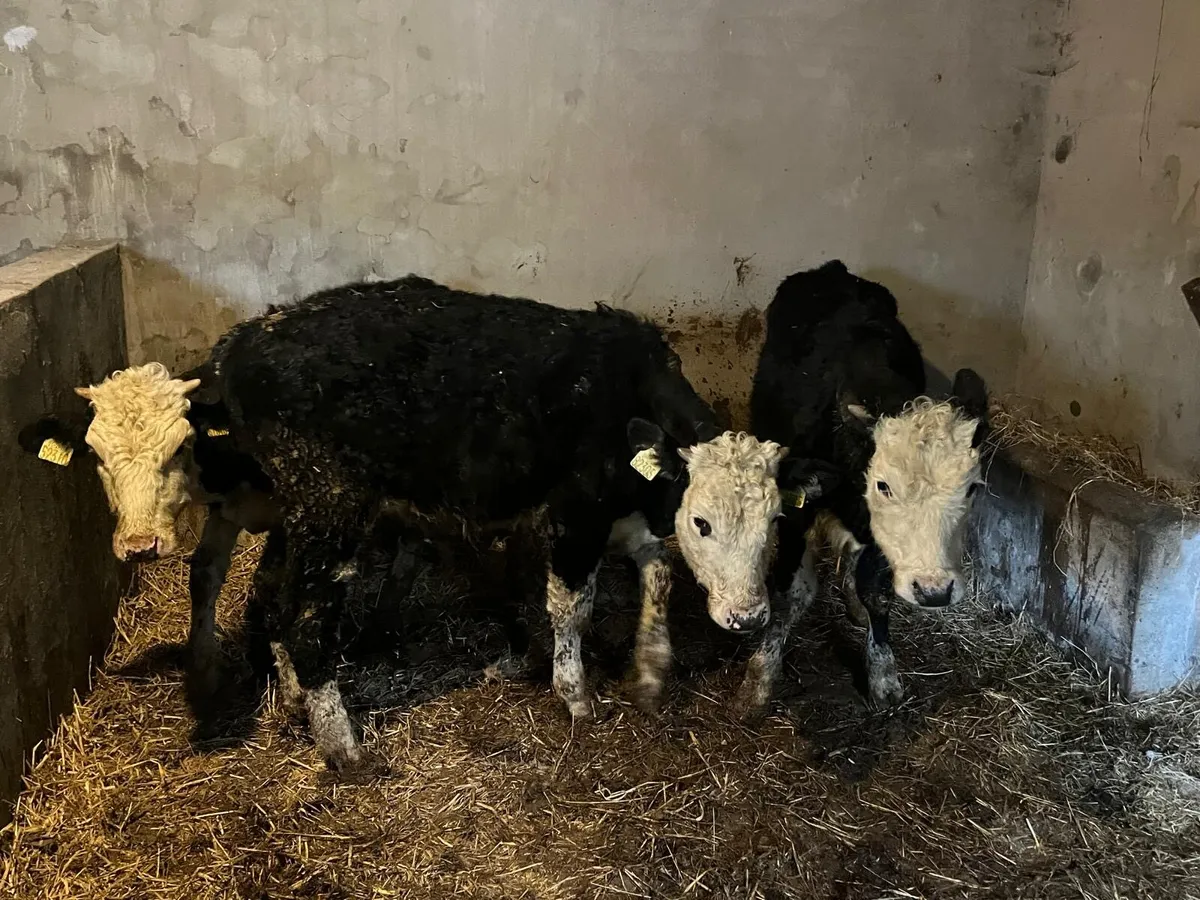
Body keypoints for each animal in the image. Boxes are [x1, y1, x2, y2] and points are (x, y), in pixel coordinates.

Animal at [197, 275, 819, 773]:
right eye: (701, 522)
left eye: (774, 522)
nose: (748, 616)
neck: (626, 398)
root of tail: (243, 341)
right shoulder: (576, 514)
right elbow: (573, 605)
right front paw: (574, 695)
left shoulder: (619, 515)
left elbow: (660, 570)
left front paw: (649, 670)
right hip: (330, 506)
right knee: (304, 620)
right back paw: (343, 745)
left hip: (296, 512)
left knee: (271, 595)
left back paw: (295, 698)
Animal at [739, 260, 989, 719]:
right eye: (883, 486)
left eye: (971, 489)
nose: (935, 591)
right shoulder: (797, 510)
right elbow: (790, 594)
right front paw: (759, 677)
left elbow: (876, 591)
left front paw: (883, 674)